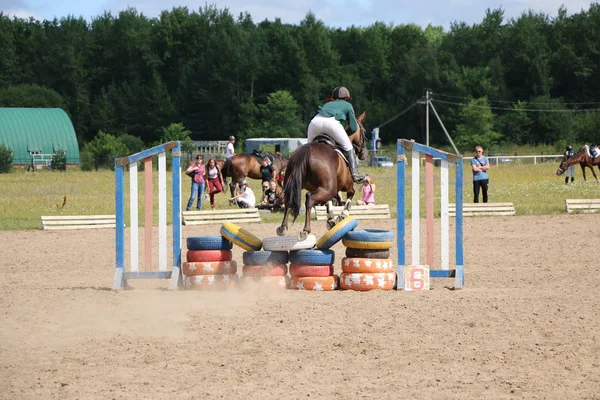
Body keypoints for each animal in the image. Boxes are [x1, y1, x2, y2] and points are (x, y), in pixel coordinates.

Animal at [278, 111, 370, 239]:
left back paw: (283, 228)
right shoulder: (346, 185)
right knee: (309, 199)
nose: (364, 154)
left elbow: (330, 201)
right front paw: (342, 215)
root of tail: (306, 151)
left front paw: (331, 219)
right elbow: (350, 194)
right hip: (328, 189)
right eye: (364, 130)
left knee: (288, 200)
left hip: (293, 183)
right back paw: (306, 230)